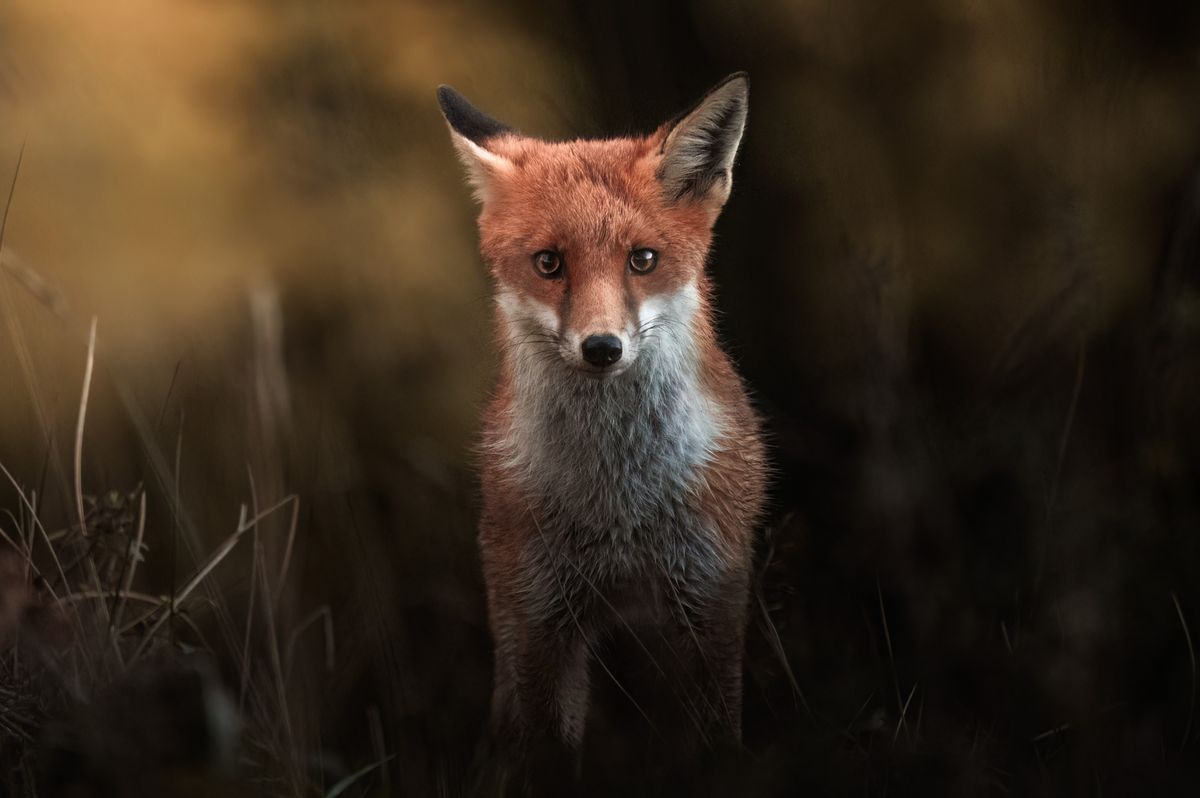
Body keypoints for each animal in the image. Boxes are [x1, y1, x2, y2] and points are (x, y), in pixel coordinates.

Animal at [438, 73, 767, 756]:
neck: (618, 504)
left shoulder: (711, 601)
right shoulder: (540, 617)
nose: (602, 348)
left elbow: (716, 744)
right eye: (549, 263)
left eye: (642, 259)